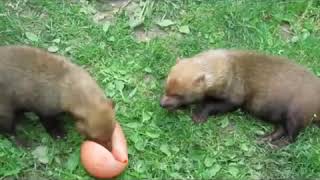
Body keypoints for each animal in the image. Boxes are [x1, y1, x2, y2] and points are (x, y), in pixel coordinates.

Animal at [161, 48, 320, 145]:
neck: (229, 68)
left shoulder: (234, 98)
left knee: (292, 136)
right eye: (166, 87)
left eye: (178, 94)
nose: (162, 103)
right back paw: (264, 139)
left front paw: (198, 115)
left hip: (297, 114)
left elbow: (213, 105)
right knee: (280, 130)